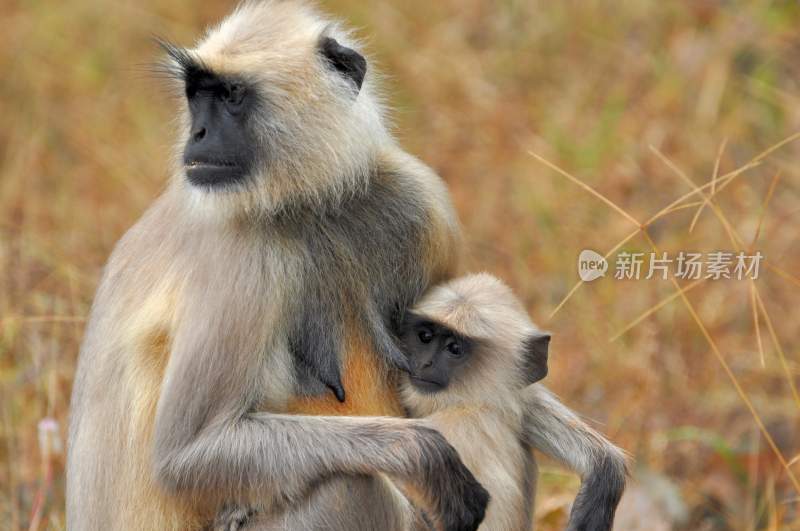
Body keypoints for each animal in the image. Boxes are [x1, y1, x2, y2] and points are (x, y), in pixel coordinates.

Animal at [65, 2, 488, 528]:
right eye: (197, 96)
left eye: (230, 95)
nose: (198, 132)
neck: (303, 204)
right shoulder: (241, 254)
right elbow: (185, 458)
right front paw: (422, 454)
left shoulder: (418, 201)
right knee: (350, 487)